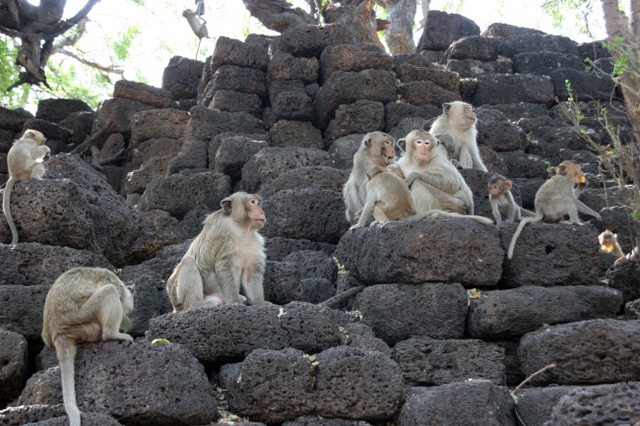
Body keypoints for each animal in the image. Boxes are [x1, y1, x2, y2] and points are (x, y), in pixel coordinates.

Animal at [41, 266, 134, 426]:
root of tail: (59, 332)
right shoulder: (115, 282)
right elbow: (115, 293)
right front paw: (128, 324)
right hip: (83, 316)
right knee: (109, 291)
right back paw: (112, 335)